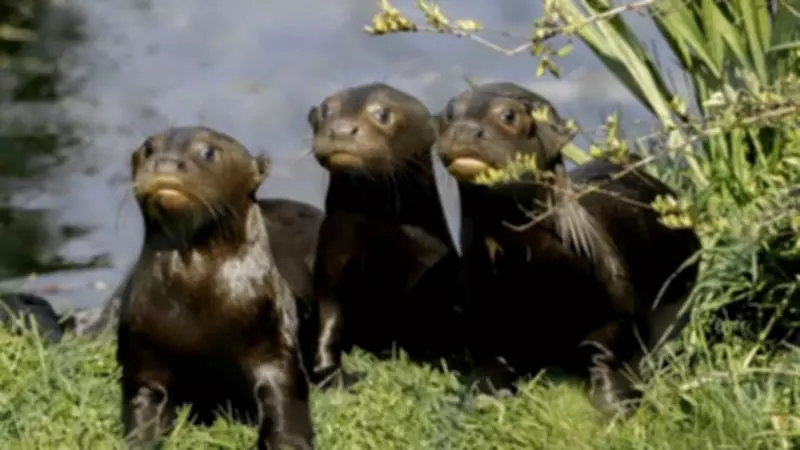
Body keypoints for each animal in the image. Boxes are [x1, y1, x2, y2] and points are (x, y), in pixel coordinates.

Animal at [117, 126, 314, 449]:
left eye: (208, 152)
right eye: (148, 148)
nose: (166, 162)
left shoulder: (273, 339)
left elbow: (285, 397)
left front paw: (288, 441)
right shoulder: (145, 351)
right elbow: (141, 404)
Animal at [306, 82, 468, 383]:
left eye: (383, 114)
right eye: (326, 109)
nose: (341, 129)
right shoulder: (331, 255)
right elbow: (329, 312)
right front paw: (326, 365)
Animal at [435, 82, 701, 417]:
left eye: (508, 115)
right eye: (448, 114)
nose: (465, 129)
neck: (535, 278)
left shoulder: (612, 310)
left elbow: (607, 354)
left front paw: (616, 405)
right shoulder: (485, 317)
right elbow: (491, 363)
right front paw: (472, 402)